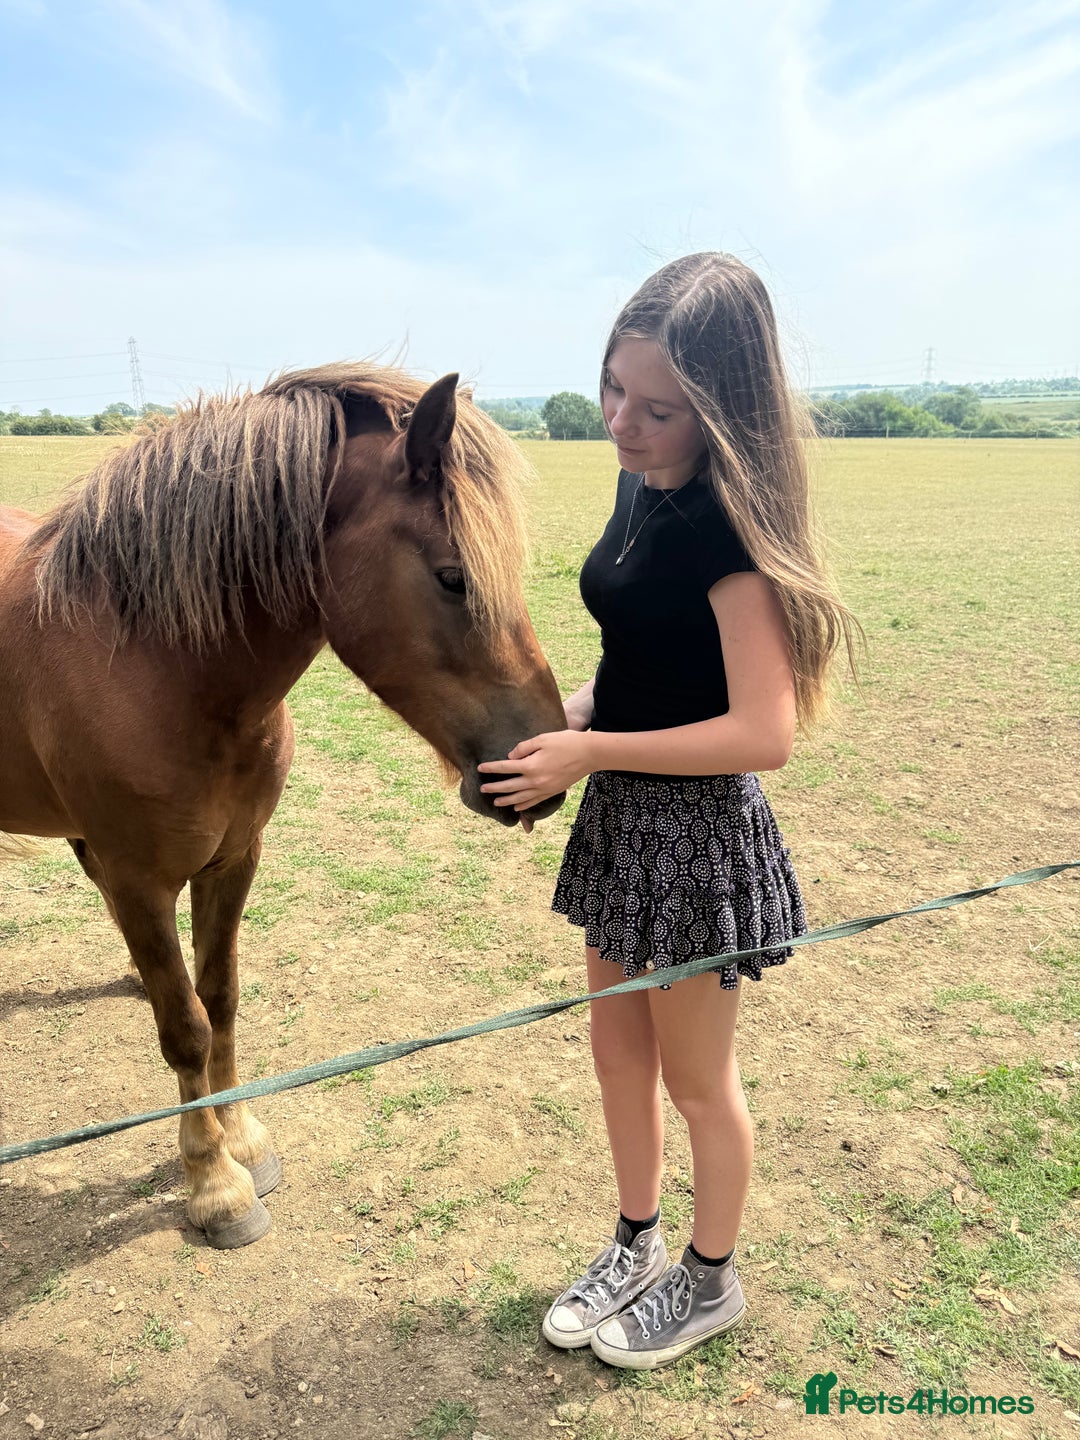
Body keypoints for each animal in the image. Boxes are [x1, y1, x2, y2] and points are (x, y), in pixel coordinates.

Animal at [0, 363, 567, 1247]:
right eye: (453, 576)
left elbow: (219, 997)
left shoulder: (233, 861)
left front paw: (242, 1139)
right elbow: (185, 1028)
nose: (540, 765)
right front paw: (213, 1184)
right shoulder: (140, 882)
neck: (149, 664)